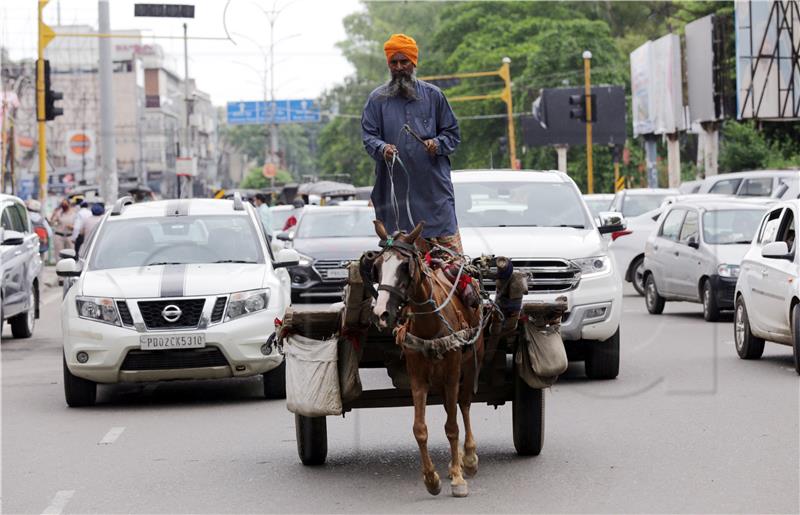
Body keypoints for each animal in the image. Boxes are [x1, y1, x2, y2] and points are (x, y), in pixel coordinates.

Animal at [372, 222, 484, 500]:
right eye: (376, 266)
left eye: (404, 266)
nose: (381, 313)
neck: (429, 323)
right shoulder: (417, 377)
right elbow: (419, 429)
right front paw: (431, 479)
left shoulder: (453, 372)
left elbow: (452, 426)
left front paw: (458, 477)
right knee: (450, 406)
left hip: (472, 360)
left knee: (464, 404)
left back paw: (469, 458)